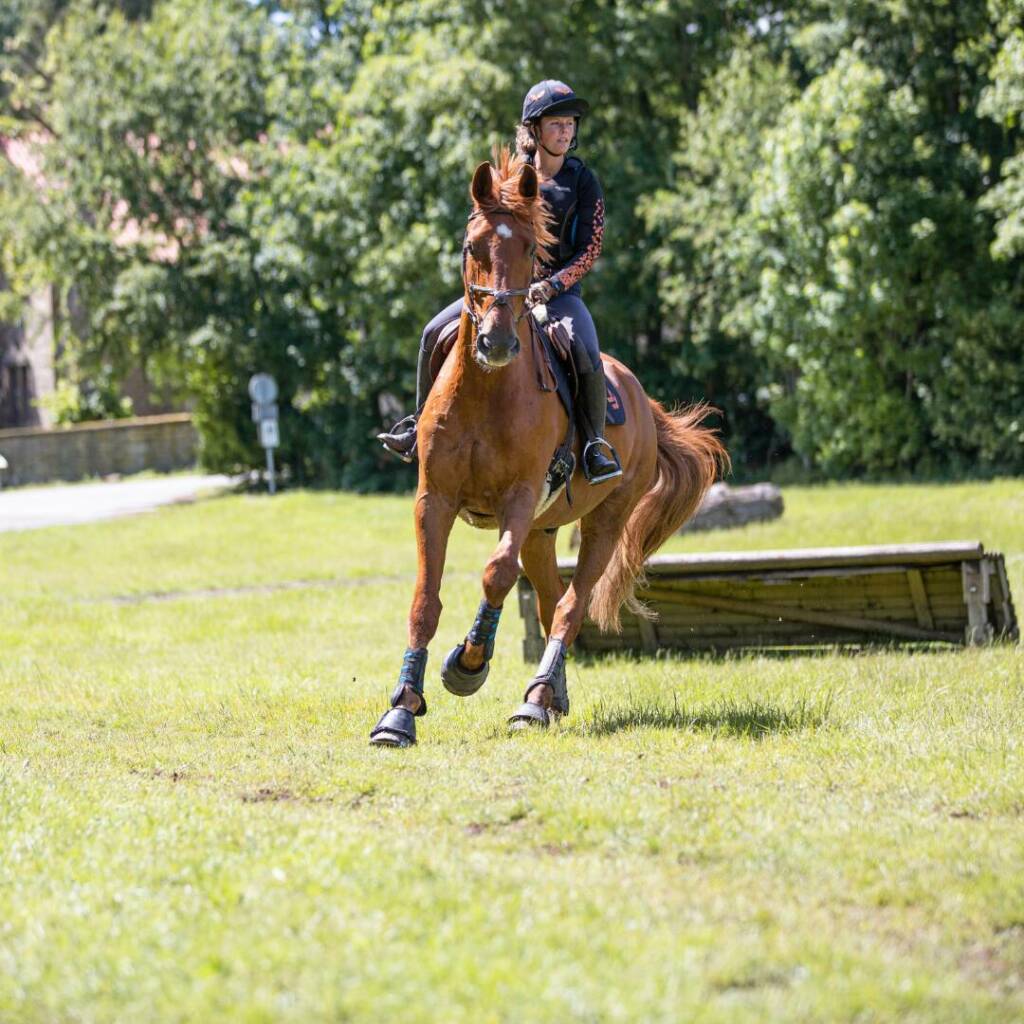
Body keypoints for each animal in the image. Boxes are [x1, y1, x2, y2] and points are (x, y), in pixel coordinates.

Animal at [370, 147, 727, 747]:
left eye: (531, 249)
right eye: (473, 247)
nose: (496, 342)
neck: (488, 390)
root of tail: (642, 399)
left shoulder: (518, 497)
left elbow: (495, 573)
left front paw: (468, 665)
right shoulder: (433, 499)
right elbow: (425, 598)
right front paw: (401, 711)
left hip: (604, 521)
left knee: (571, 606)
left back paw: (535, 701)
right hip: (543, 531)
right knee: (550, 598)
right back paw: (550, 694)